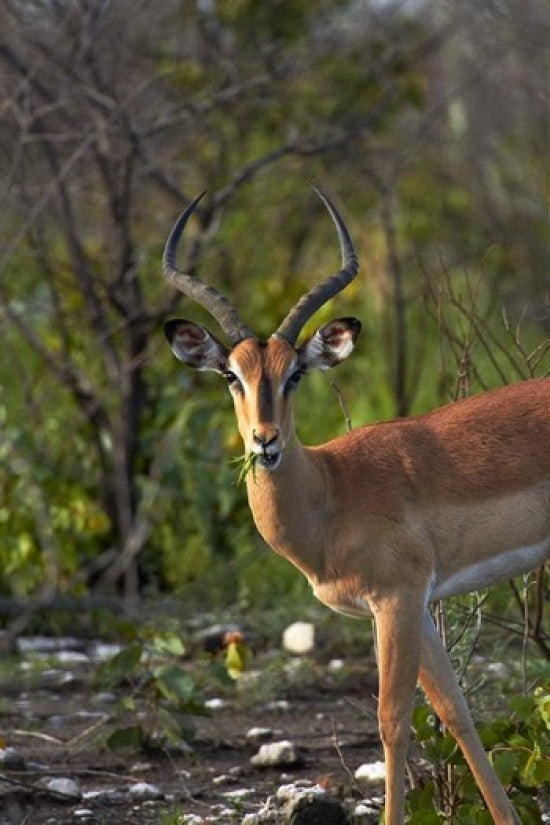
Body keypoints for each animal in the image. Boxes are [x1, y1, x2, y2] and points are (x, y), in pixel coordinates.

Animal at [162, 190, 549, 825]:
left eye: (294, 373)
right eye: (231, 374)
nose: (265, 441)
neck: (331, 493)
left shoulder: (396, 598)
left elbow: (391, 722)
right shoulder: (417, 605)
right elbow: (456, 713)